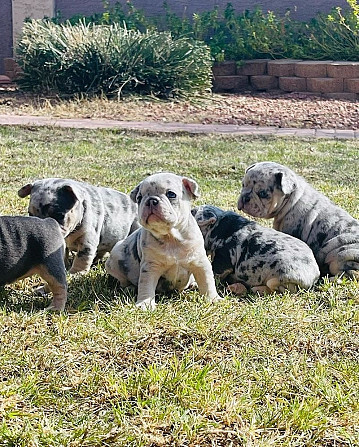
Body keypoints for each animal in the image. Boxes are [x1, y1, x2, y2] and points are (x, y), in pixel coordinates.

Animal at [105, 172, 221, 312]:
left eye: (171, 194)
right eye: (139, 198)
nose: (151, 200)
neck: (171, 237)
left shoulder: (199, 262)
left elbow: (207, 281)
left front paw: (213, 299)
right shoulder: (150, 267)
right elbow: (146, 286)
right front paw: (145, 303)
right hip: (115, 259)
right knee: (123, 280)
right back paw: (130, 288)